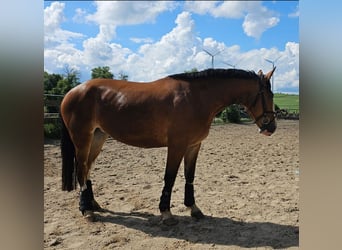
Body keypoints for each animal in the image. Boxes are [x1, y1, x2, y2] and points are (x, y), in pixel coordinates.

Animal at [60, 67, 276, 225]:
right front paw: (166, 213)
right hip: (82, 139)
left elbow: (189, 176)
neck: (196, 98)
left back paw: (93, 204)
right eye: (268, 95)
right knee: (81, 170)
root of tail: (72, 92)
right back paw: (87, 210)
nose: (271, 127)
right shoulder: (177, 146)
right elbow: (170, 178)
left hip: (98, 137)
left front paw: (194, 208)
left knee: (87, 169)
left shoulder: (193, 146)